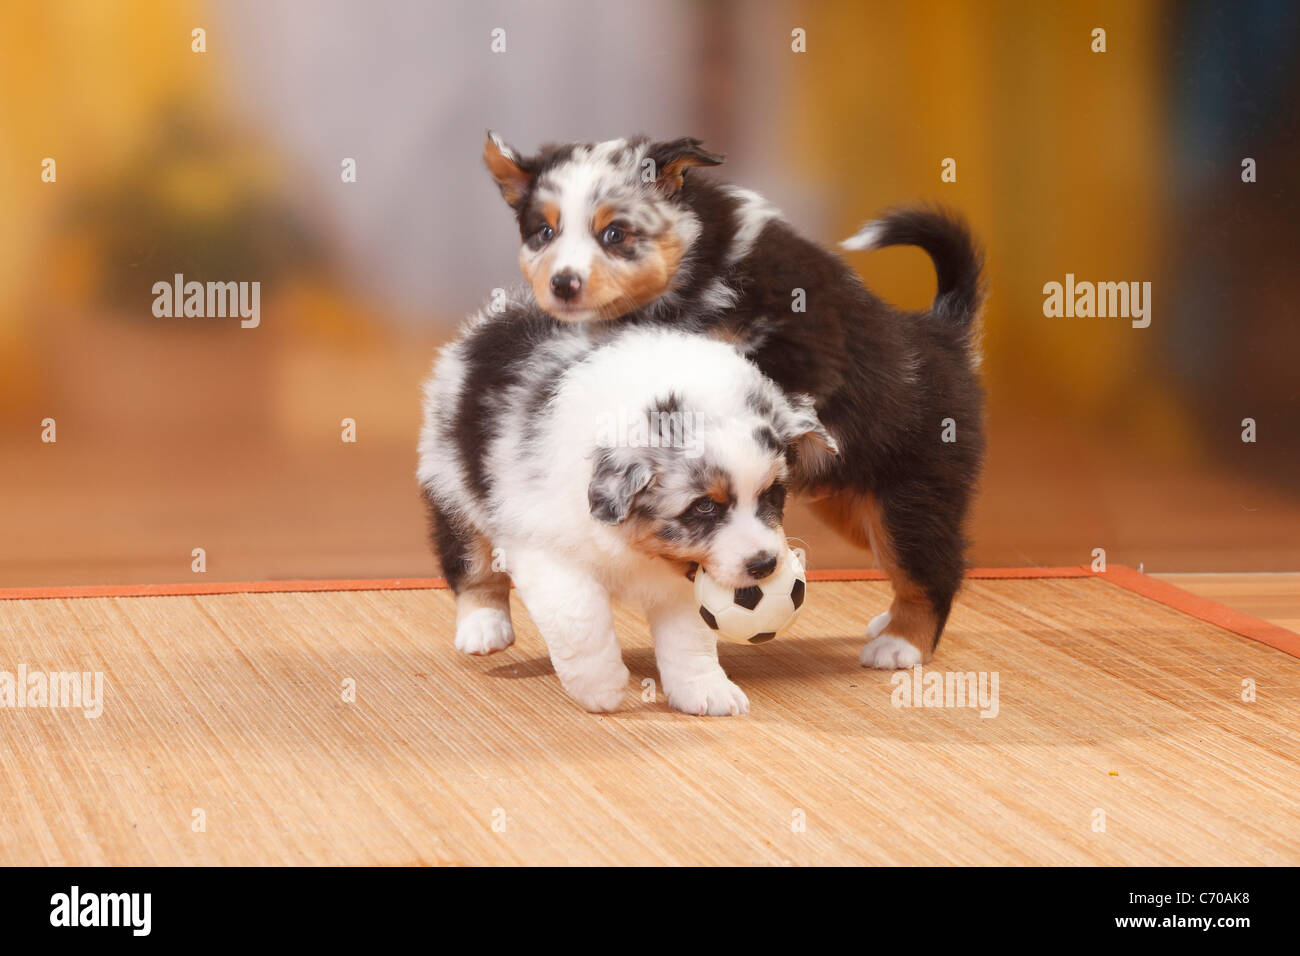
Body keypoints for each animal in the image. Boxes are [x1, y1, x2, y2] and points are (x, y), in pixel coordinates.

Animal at [421, 303, 837, 712]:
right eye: (704, 507)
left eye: (773, 494)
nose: (765, 564)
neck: (639, 546)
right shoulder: (545, 547)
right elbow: (579, 617)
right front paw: (600, 688)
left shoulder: (689, 571)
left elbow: (689, 636)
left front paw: (706, 691)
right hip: (451, 484)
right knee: (472, 565)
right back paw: (484, 628)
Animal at [478, 132, 982, 671]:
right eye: (544, 232)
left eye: (615, 233)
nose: (563, 284)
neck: (697, 265)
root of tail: (945, 335)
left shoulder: (799, 346)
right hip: (850, 501)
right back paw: (889, 623)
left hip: (912, 496)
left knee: (934, 567)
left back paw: (900, 643)